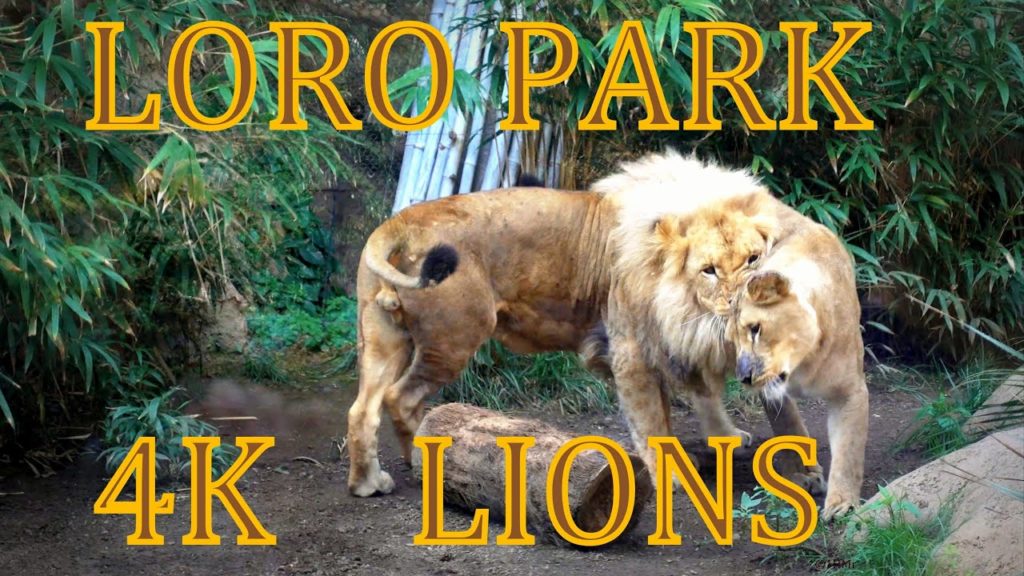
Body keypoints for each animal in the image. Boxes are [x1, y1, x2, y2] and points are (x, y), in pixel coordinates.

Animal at [345, 150, 773, 497]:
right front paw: (673, 477)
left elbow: (700, 396)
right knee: (400, 398)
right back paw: (426, 460)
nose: (742, 301)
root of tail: (403, 221)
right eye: (709, 270)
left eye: (753, 258)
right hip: (454, 337)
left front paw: (727, 437)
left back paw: (369, 483)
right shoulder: (631, 354)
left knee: (362, 409)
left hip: (384, 339)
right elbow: (654, 422)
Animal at [729, 213, 869, 520]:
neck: (804, 361)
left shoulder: (850, 391)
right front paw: (802, 473)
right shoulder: (772, 391)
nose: (744, 377)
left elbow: (848, 450)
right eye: (732, 341)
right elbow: (786, 423)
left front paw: (841, 504)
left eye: (755, 329)